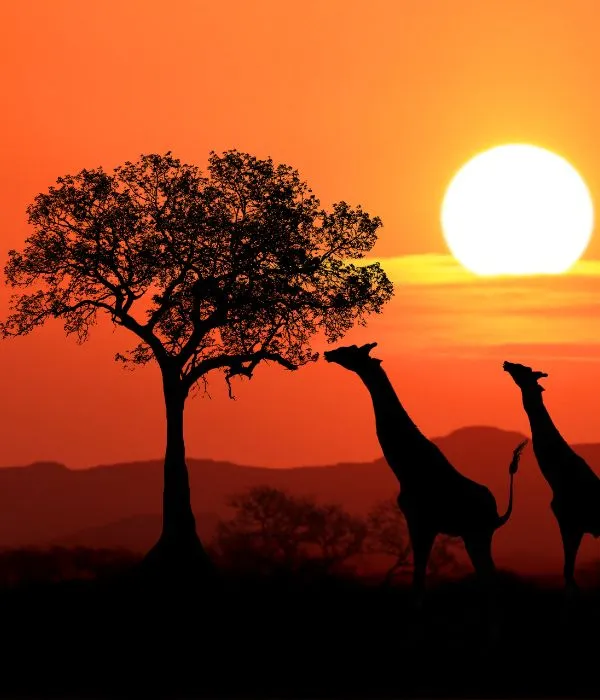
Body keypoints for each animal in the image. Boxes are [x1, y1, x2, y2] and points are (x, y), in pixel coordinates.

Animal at [324, 342, 524, 608]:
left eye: (352, 350)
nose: (329, 353)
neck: (407, 468)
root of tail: (496, 514)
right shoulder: (420, 522)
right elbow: (419, 580)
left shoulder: (422, 521)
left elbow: (418, 583)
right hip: (475, 536)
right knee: (489, 583)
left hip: (477, 535)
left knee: (491, 584)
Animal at [504, 360, 600, 596]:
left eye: (523, 369)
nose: (506, 363)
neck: (558, 476)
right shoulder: (571, 524)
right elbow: (568, 573)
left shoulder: (571, 522)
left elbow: (568, 573)